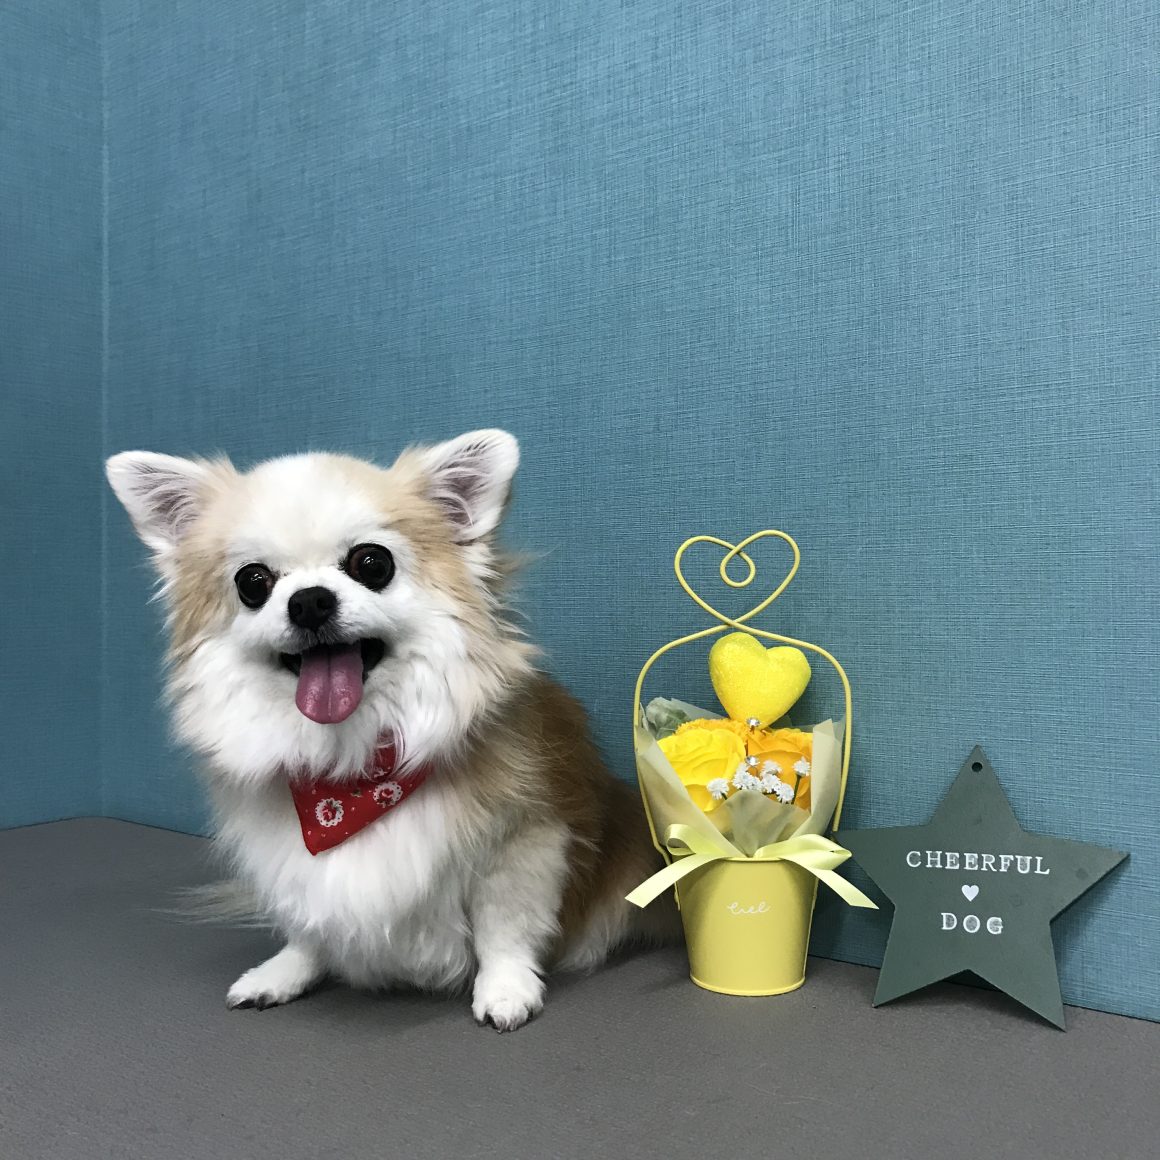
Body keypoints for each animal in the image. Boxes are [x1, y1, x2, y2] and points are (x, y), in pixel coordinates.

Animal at [105, 430, 671, 1030]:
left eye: (371, 563)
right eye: (252, 581)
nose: (309, 600)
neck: (349, 774)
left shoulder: (522, 845)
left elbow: (504, 928)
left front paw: (506, 989)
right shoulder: (292, 860)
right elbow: (305, 925)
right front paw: (285, 971)